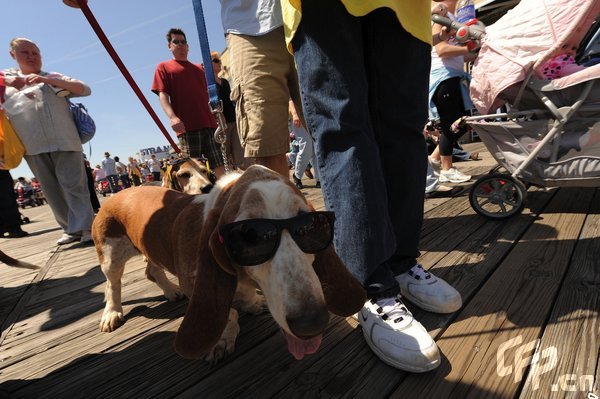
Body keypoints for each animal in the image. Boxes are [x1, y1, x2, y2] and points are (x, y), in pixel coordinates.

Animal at [92, 164, 366, 364]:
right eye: (251, 235)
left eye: (310, 227)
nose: (312, 322)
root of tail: (120, 192)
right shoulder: (193, 282)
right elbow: (228, 314)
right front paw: (222, 340)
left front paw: (252, 302)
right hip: (110, 255)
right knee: (111, 284)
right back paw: (112, 313)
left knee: (151, 270)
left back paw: (170, 291)